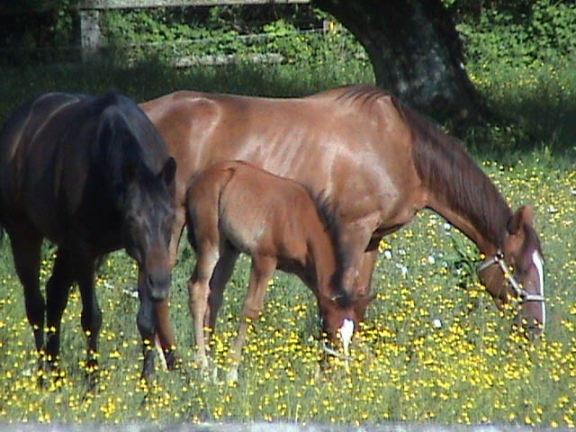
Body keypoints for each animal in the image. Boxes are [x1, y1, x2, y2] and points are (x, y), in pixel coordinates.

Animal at [0, 92, 176, 382]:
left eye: (171, 218)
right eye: (132, 220)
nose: (161, 284)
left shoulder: (144, 258)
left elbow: (146, 321)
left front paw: (147, 385)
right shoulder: (85, 251)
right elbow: (91, 318)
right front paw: (92, 382)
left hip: (66, 247)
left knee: (55, 295)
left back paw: (56, 372)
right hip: (24, 234)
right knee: (36, 305)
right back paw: (42, 376)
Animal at [142, 84, 548, 352]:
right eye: (519, 266)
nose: (536, 327)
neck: (402, 148)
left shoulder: (373, 238)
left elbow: (359, 301)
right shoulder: (352, 230)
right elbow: (341, 293)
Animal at [187, 160, 372, 380]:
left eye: (351, 335)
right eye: (330, 329)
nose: (343, 373)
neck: (300, 222)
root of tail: (201, 178)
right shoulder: (264, 259)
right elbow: (251, 310)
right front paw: (232, 373)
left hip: (230, 249)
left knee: (213, 295)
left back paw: (213, 368)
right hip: (210, 244)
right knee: (198, 289)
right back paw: (203, 367)